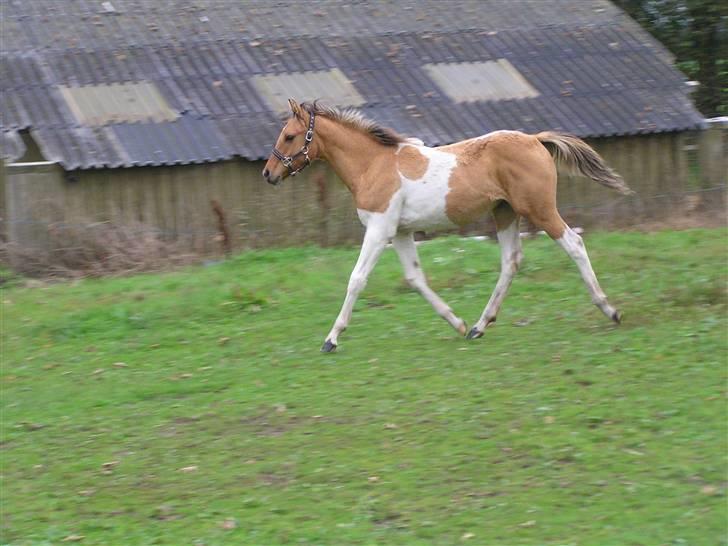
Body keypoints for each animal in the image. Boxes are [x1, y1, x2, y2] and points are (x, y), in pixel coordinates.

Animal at [262, 99, 632, 350]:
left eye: (290, 136)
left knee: (574, 243)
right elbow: (415, 279)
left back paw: (610, 310)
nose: (268, 173)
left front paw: (332, 338)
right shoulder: (401, 232)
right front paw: (457, 323)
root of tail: (534, 139)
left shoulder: (380, 229)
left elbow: (357, 279)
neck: (373, 164)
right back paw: (479, 326)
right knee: (511, 262)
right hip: (504, 213)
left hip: (539, 209)